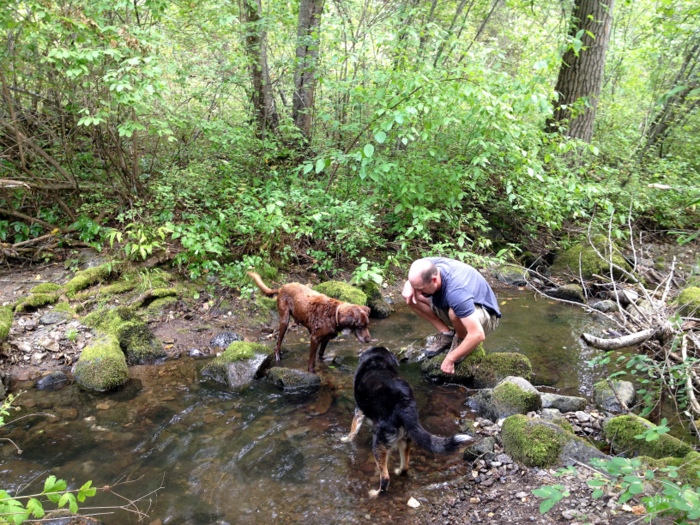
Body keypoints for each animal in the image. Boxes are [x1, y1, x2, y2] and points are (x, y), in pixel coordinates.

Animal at [344, 346, 474, 494]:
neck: (376, 362)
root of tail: (404, 404)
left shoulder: (358, 411)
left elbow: (352, 431)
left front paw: (345, 440)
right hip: (405, 438)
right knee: (405, 467)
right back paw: (399, 471)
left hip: (379, 444)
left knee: (385, 478)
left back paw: (375, 493)